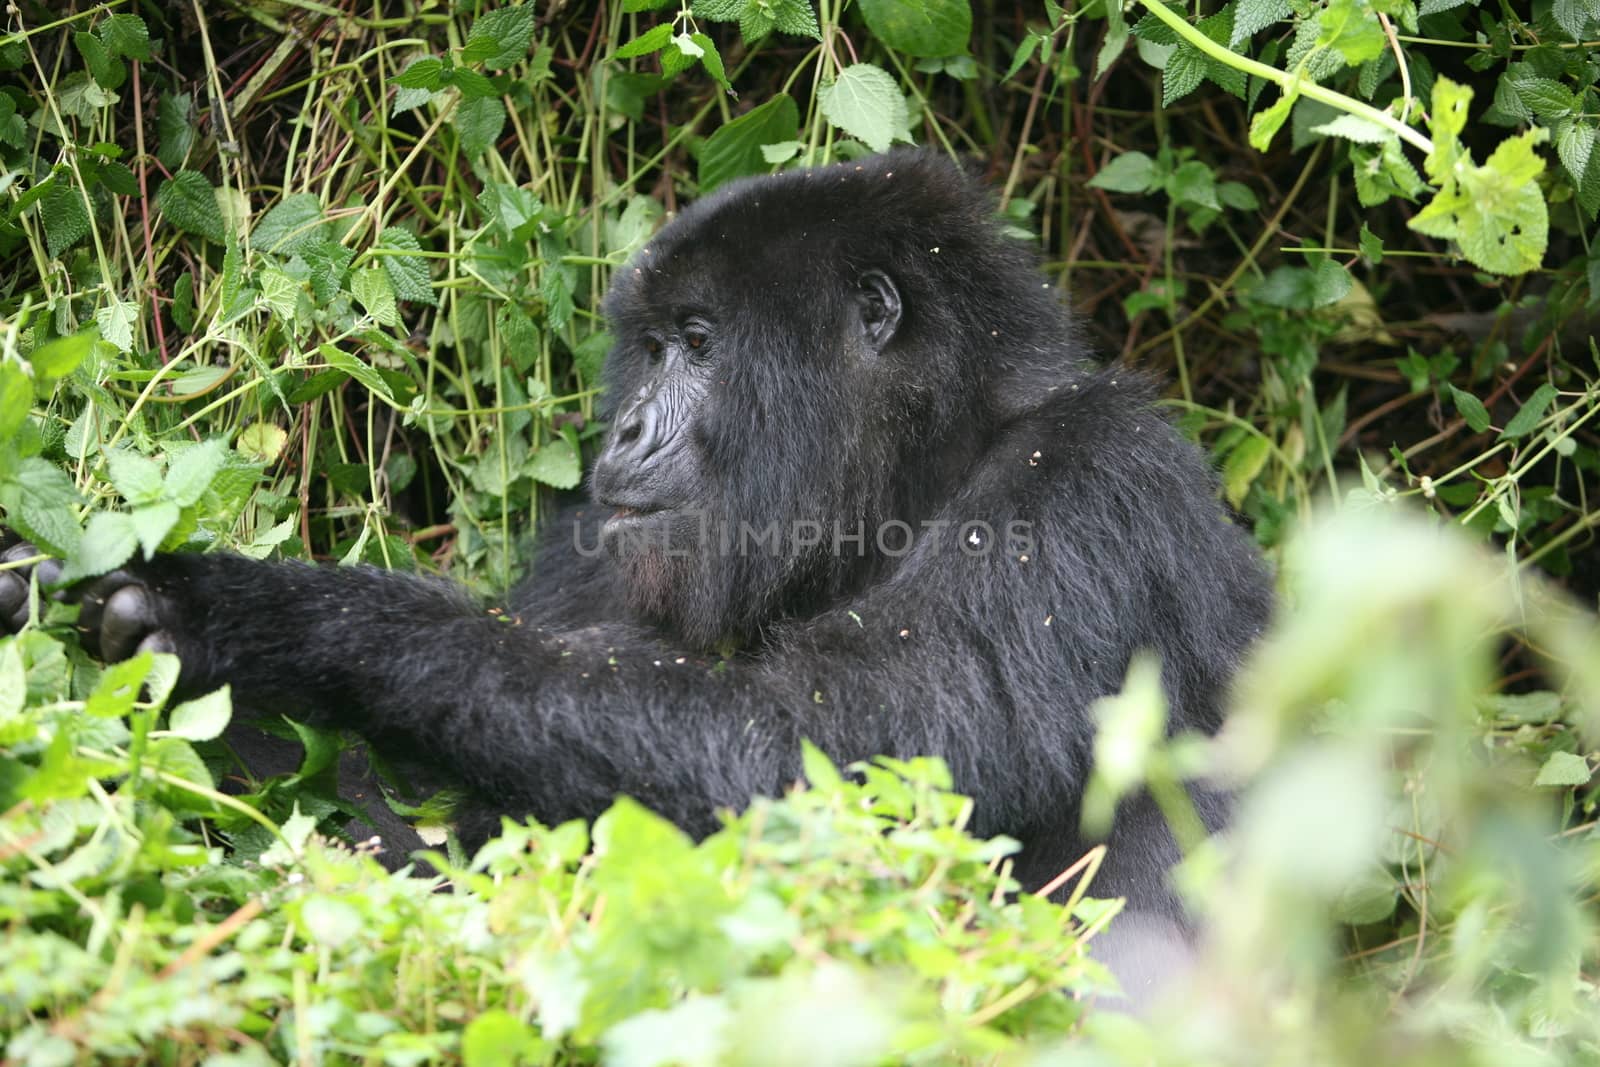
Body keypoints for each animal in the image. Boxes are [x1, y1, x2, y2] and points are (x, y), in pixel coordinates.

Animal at [3, 150, 1273, 1004]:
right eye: (653, 345)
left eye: (699, 344)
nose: (617, 435)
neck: (931, 452)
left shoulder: (1089, 487)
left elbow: (819, 772)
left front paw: (288, 622)